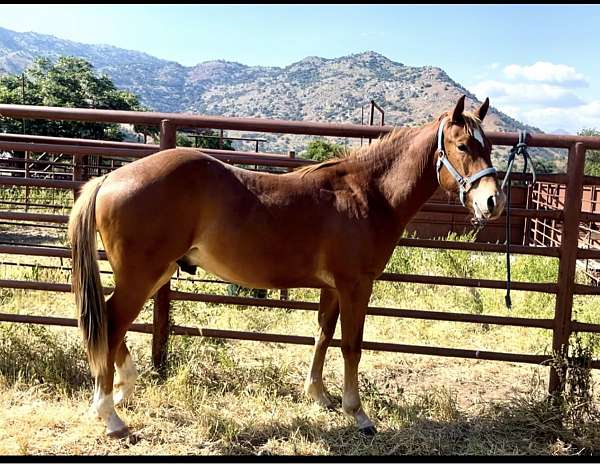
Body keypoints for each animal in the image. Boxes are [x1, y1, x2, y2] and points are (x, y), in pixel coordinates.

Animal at [67, 96, 506, 436]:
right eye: (463, 146)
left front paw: (320, 396)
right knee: (110, 323)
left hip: (152, 274)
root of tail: (108, 179)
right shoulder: (356, 285)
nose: (493, 202)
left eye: (488, 148)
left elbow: (322, 336)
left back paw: (123, 389)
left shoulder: (333, 287)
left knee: (111, 325)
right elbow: (352, 346)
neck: (368, 193)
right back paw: (110, 414)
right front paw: (358, 414)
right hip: (141, 275)